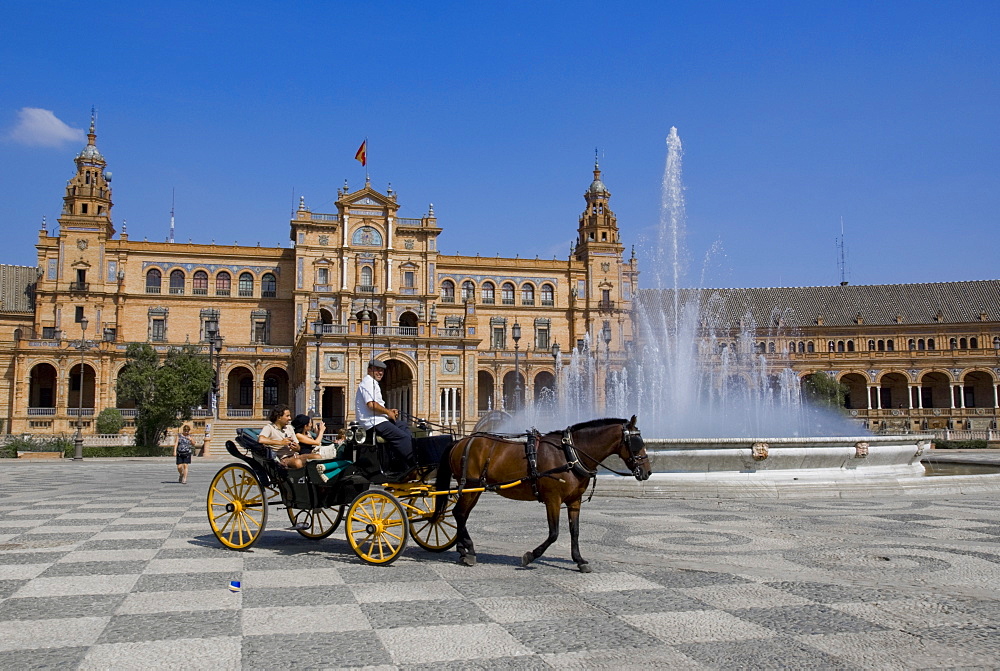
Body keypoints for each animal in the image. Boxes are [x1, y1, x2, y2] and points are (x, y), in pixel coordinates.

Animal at [434, 414, 652, 572]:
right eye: (637, 442)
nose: (647, 472)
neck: (571, 454)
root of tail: (460, 441)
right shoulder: (553, 499)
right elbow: (554, 533)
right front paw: (530, 556)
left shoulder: (575, 500)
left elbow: (575, 531)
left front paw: (579, 560)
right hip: (470, 486)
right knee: (459, 513)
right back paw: (469, 550)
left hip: (475, 488)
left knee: (461, 515)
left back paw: (463, 550)